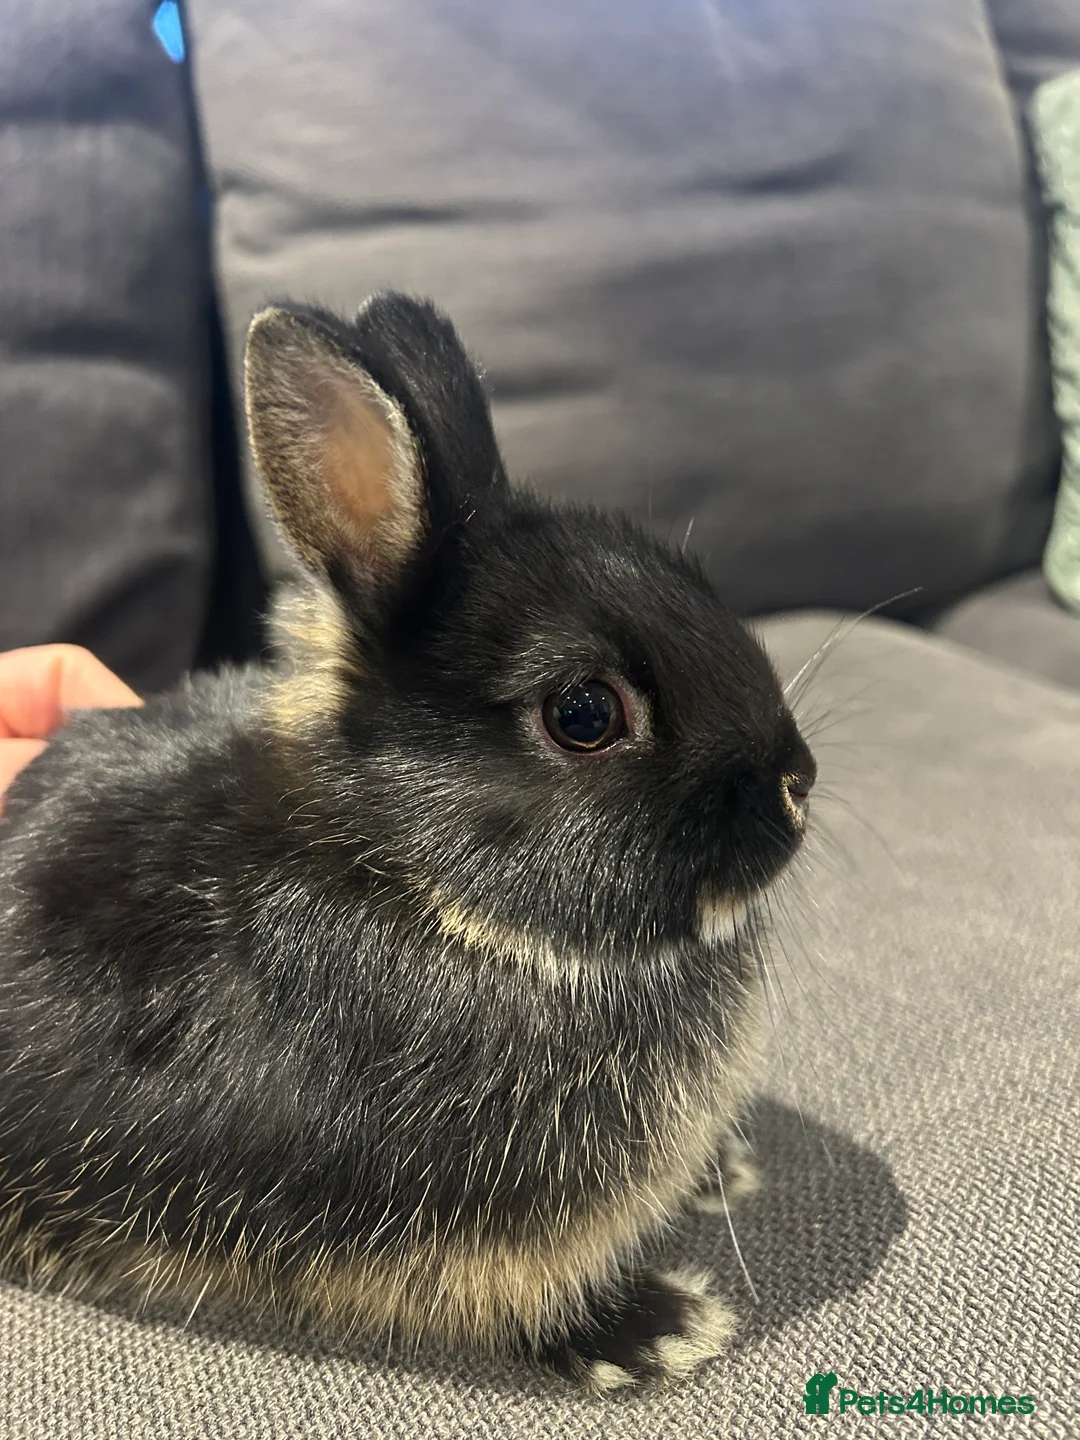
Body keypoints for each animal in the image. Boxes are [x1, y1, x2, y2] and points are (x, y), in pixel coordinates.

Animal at [0, 293, 815, 1393]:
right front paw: (655, 1329)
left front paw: (719, 1172)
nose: (798, 787)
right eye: (585, 713)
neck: (416, 881)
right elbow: (519, 1295)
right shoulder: (460, 1232)